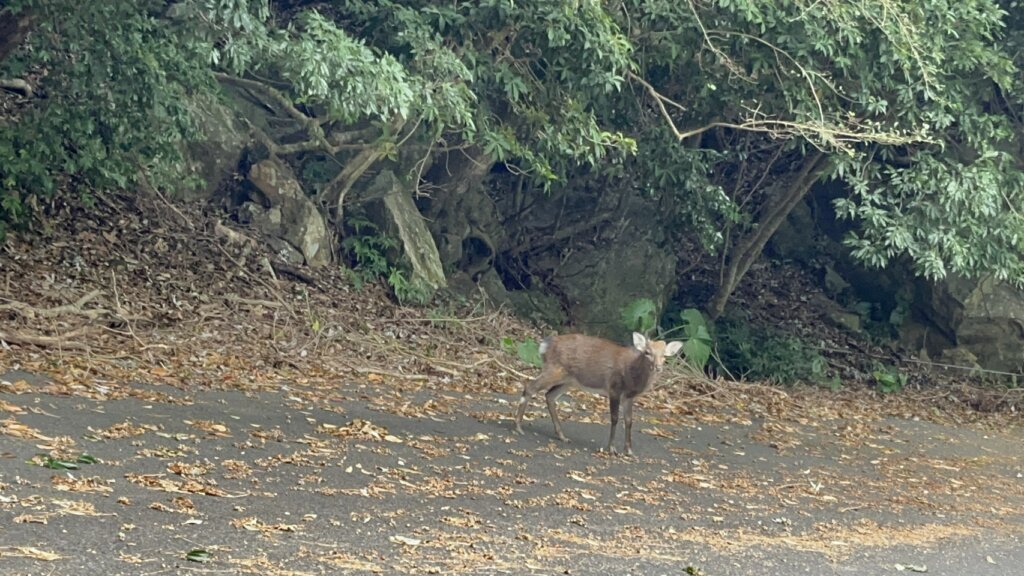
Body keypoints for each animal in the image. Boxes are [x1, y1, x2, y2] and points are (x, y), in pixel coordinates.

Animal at [509, 332, 679, 453]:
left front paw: (629, 451)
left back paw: (562, 436)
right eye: (647, 352)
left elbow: (629, 421)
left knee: (549, 395)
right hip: (554, 369)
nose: (658, 367)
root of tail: (545, 345)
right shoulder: (614, 388)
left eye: (664, 355)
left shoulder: (629, 396)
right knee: (530, 387)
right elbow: (614, 418)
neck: (632, 376)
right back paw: (518, 427)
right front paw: (612, 448)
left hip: (568, 380)